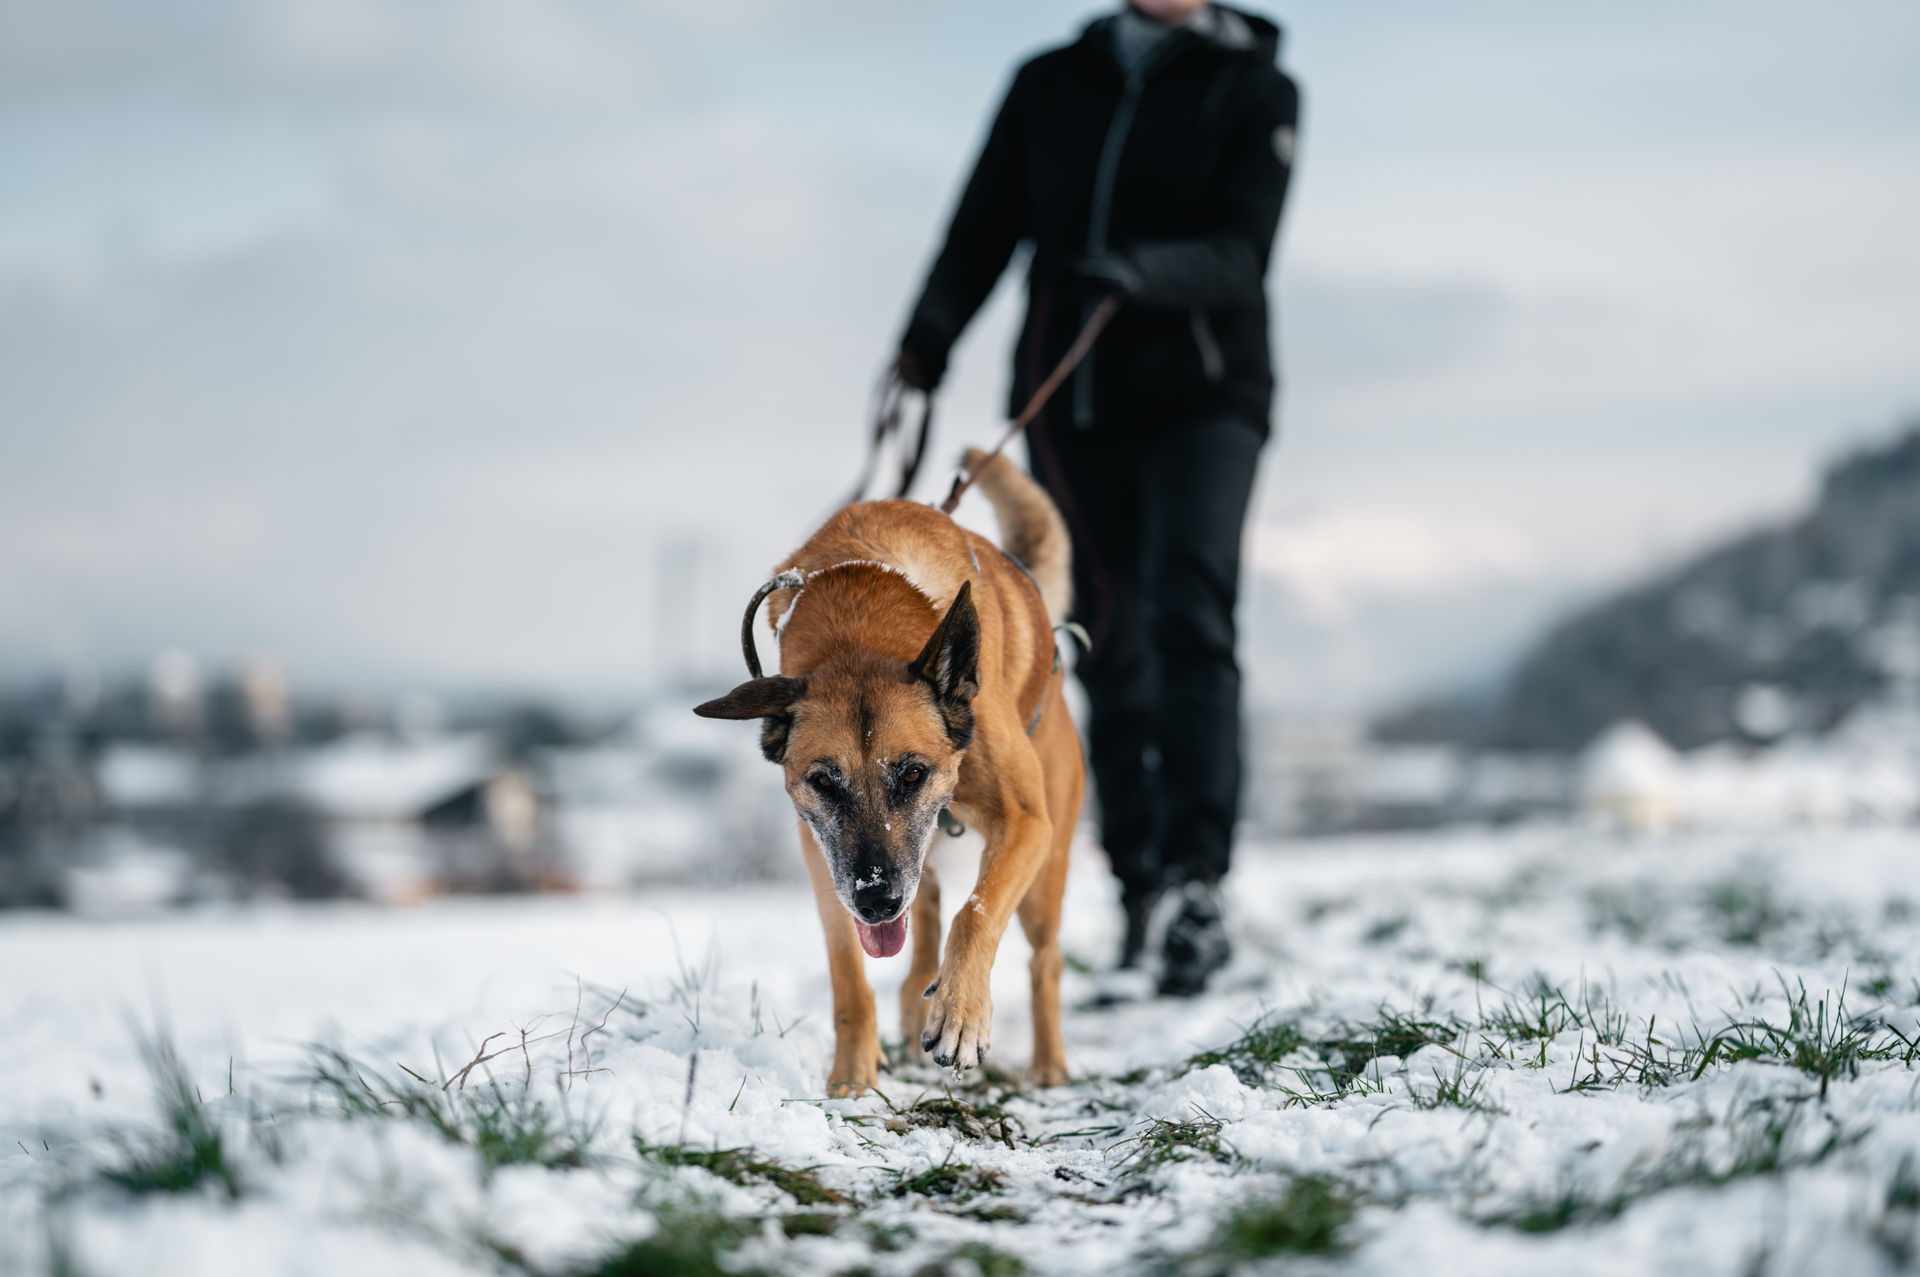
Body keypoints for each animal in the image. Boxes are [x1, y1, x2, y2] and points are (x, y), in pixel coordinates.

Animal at [695, 450, 1085, 1094]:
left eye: (912, 774)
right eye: (824, 781)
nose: (876, 900)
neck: (859, 624)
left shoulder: (1025, 821)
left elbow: (975, 915)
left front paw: (960, 1014)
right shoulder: (823, 857)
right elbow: (849, 975)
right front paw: (852, 1078)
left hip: (1044, 869)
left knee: (1043, 957)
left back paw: (1048, 1066)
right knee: (926, 901)